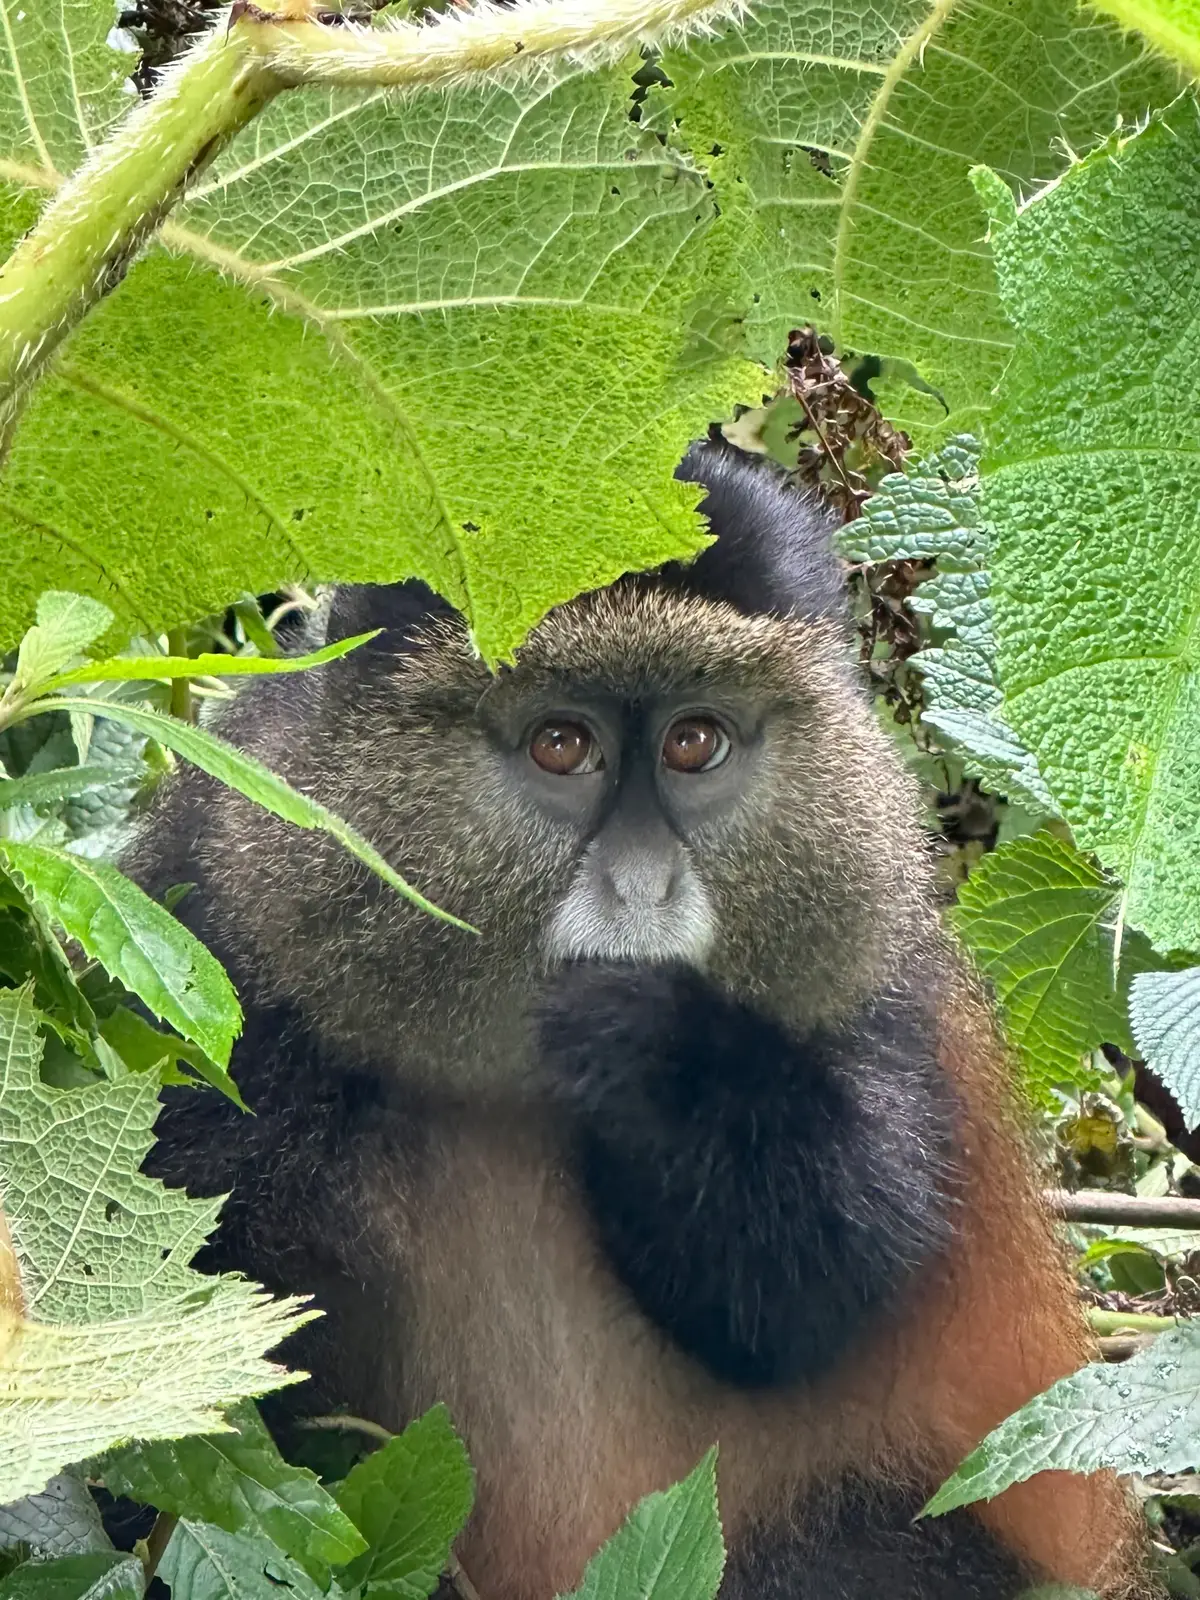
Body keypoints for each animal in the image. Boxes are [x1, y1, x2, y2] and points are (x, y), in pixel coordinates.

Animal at [128, 438, 1152, 1600]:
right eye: (561, 745)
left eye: (695, 742)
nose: (643, 887)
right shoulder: (216, 920)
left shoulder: (873, 964)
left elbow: (823, 1286)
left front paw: (655, 1046)